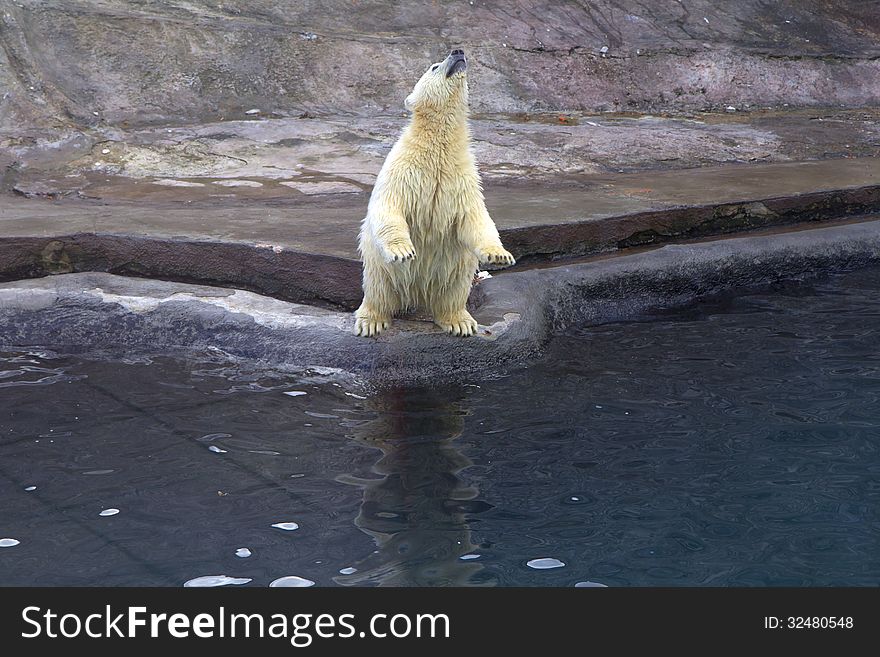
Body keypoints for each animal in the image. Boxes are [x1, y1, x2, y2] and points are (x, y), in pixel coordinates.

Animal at [352, 48, 512, 336]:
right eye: (434, 66)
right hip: (380, 269)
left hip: (453, 271)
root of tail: (417, 297)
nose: (458, 51)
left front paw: (499, 255)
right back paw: (371, 321)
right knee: (378, 289)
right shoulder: (403, 169)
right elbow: (389, 207)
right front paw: (403, 251)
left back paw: (460, 321)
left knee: (454, 290)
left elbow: (476, 218)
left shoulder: (462, 179)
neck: (438, 148)